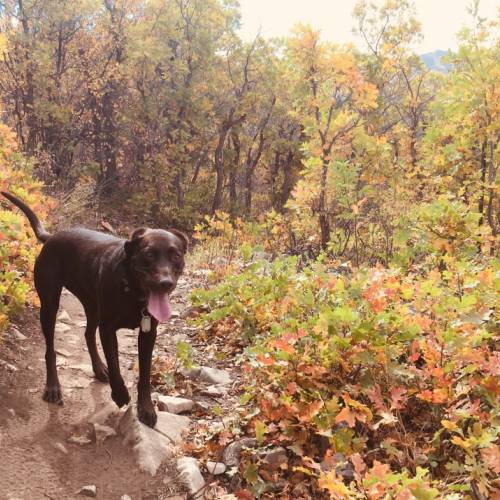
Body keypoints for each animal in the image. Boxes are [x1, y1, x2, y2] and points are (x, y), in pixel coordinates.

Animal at [1, 191, 188, 426]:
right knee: (50, 350)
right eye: (149, 254)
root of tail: (51, 237)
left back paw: (98, 369)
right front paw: (120, 394)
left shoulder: (148, 332)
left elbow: (145, 373)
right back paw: (53, 387)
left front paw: (146, 408)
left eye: (176, 255)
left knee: (88, 334)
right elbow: (115, 366)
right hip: (50, 305)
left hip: (91, 305)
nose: (165, 283)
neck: (132, 290)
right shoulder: (108, 329)